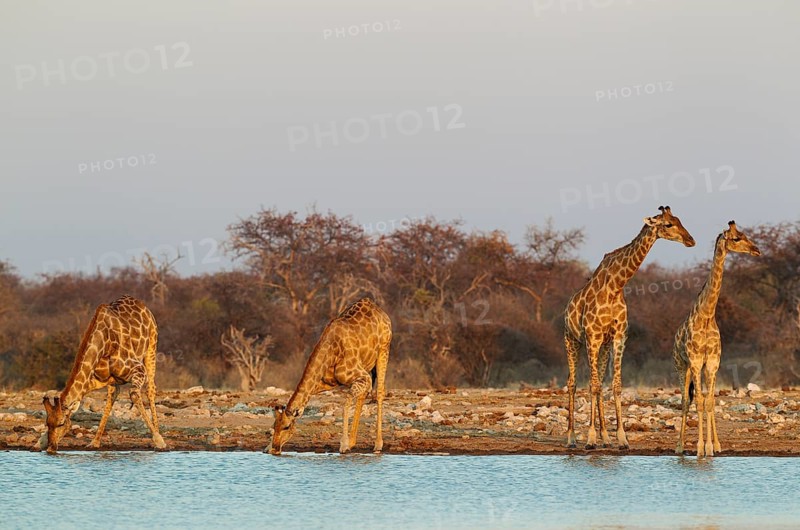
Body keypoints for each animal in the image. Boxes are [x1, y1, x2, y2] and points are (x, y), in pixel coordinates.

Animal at [39, 295, 166, 454]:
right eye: (47, 423)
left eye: (61, 423)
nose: (51, 448)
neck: (103, 344)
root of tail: (141, 304)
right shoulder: (95, 379)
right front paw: (40, 442)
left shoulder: (138, 368)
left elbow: (135, 394)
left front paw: (158, 440)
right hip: (114, 380)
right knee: (113, 395)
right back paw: (95, 441)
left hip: (151, 348)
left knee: (150, 389)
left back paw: (158, 433)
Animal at [268, 297, 392, 455]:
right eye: (274, 426)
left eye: (287, 426)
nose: (274, 449)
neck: (331, 349)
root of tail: (380, 311)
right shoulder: (325, 382)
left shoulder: (362, 376)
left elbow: (346, 403)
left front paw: (343, 445)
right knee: (364, 394)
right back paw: (353, 442)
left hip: (383, 350)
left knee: (380, 392)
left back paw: (377, 445)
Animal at [564, 206, 695, 449]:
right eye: (668, 224)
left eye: (679, 220)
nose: (691, 240)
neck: (615, 286)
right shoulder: (592, 336)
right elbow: (592, 386)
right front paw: (590, 439)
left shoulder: (618, 337)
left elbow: (615, 386)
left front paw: (621, 438)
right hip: (572, 340)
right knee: (573, 383)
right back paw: (572, 438)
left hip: (602, 347)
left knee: (597, 382)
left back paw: (605, 437)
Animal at [673, 221, 760, 457]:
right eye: (737, 238)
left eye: (745, 234)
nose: (756, 250)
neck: (706, 316)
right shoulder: (695, 361)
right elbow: (698, 402)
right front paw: (700, 448)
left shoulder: (712, 362)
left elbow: (710, 401)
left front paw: (711, 447)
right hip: (682, 366)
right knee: (685, 400)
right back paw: (679, 446)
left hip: (704, 368)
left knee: (705, 398)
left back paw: (715, 444)